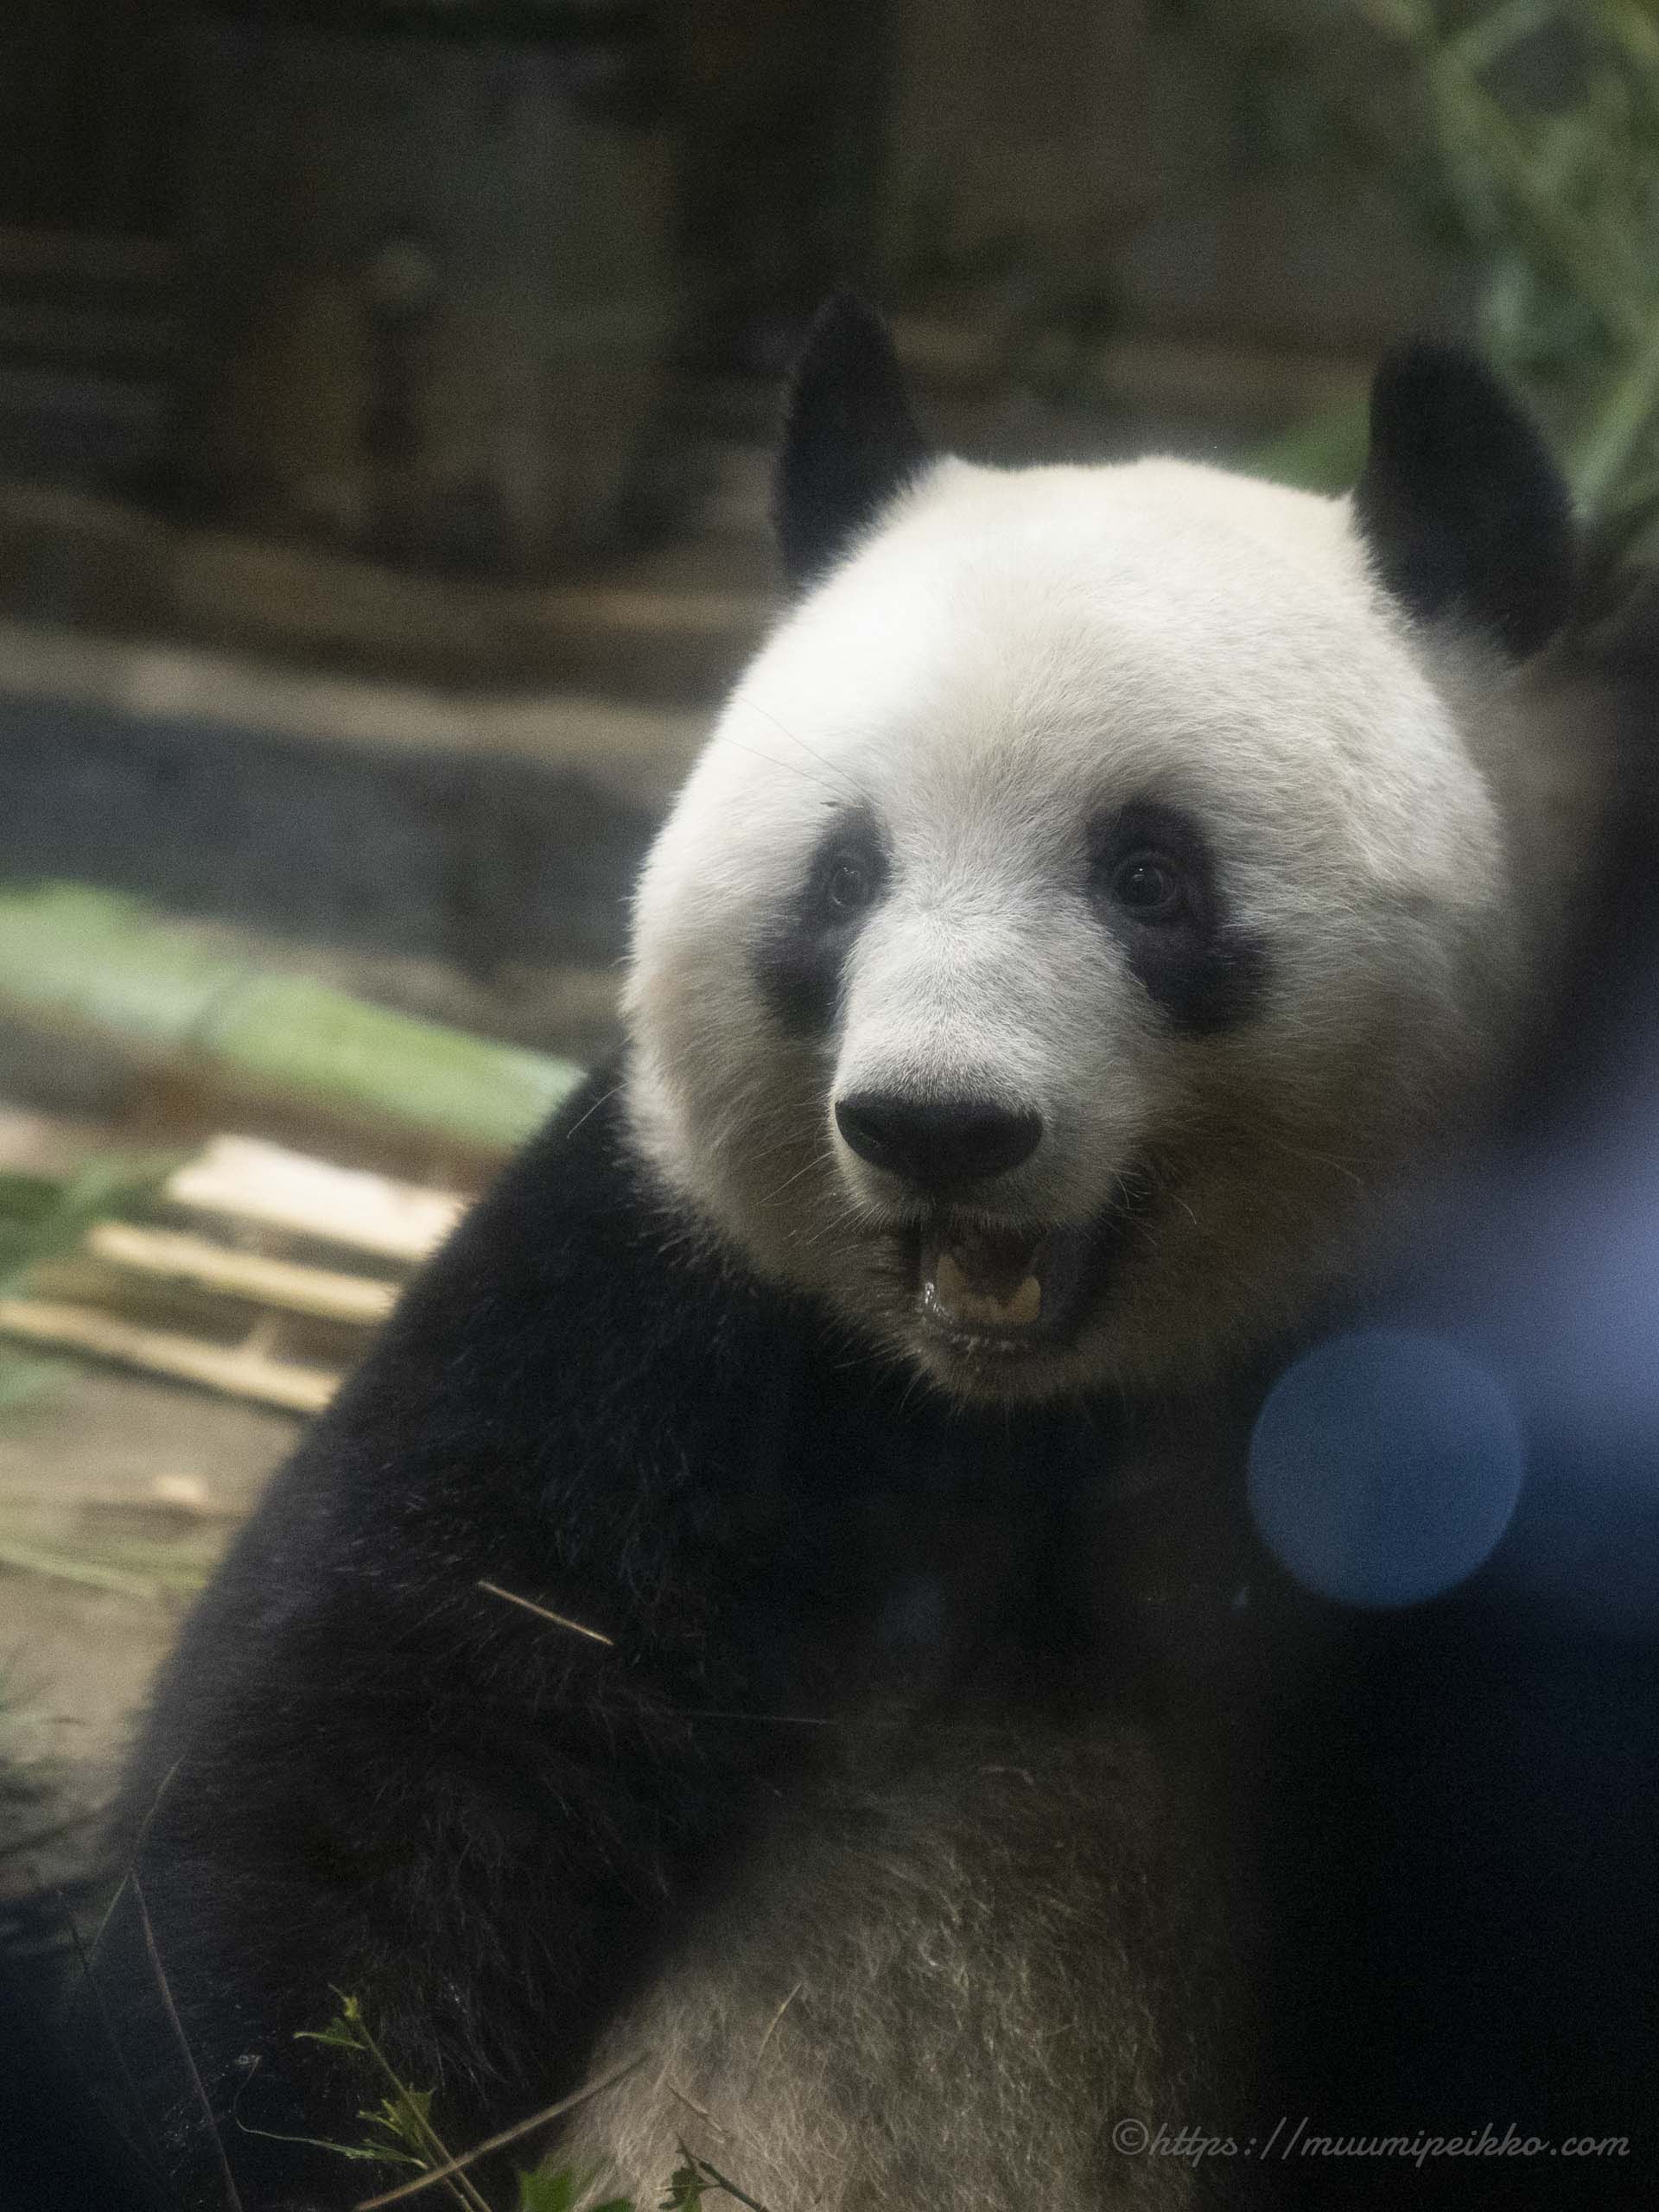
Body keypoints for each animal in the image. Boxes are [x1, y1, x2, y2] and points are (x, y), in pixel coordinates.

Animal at [82, 294, 1637, 2212]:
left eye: (1150, 876)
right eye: (843, 877)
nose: (936, 1125)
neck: (1050, 1408)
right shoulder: (662, 1322)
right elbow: (377, 1763)